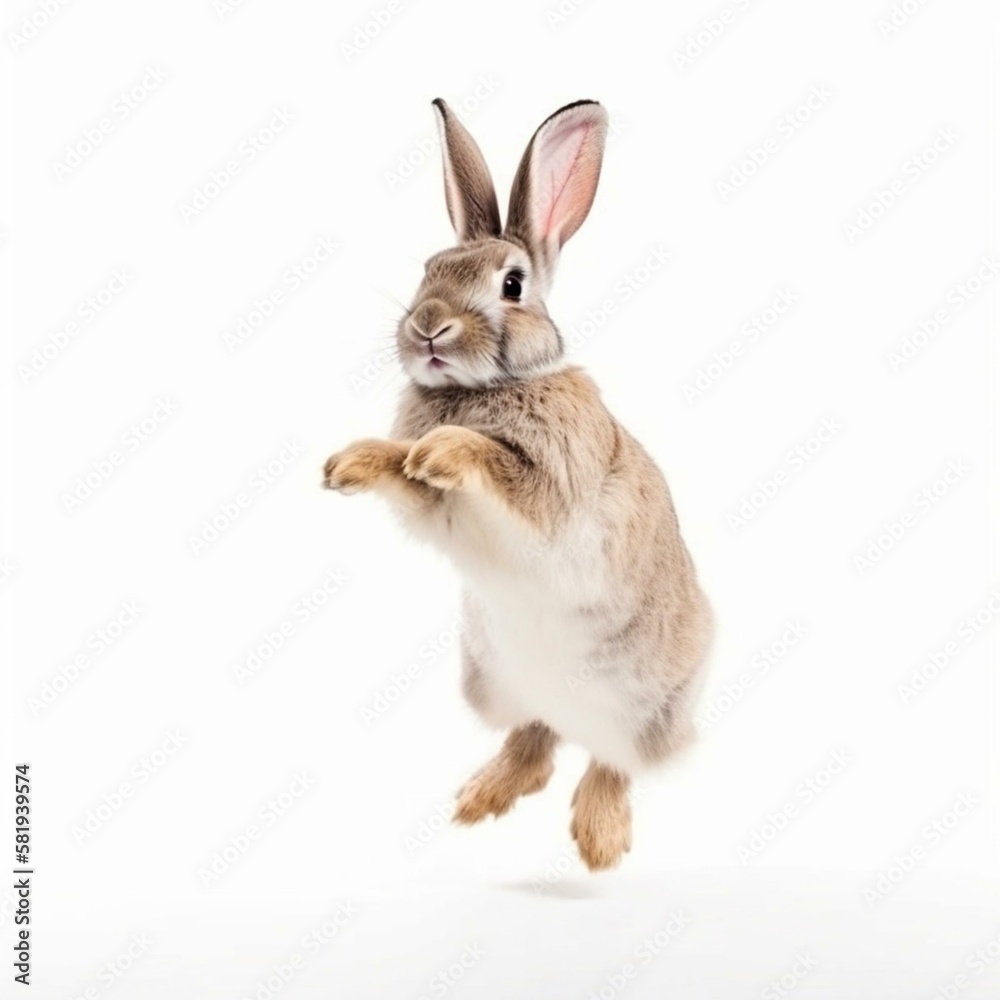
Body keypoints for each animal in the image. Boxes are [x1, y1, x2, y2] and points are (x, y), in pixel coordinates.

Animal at [323, 98, 712, 870]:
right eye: (428, 270)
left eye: (512, 284)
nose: (428, 326)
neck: (484, 389)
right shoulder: (441, 513)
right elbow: (407, 474)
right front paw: (351, 464)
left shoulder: (553, 486)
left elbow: (497, 465)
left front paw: (443, 448)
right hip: (493, 680)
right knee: (537, 738)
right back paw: (479, 799)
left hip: (643, 705)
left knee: (612, 760)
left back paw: (598, 841)